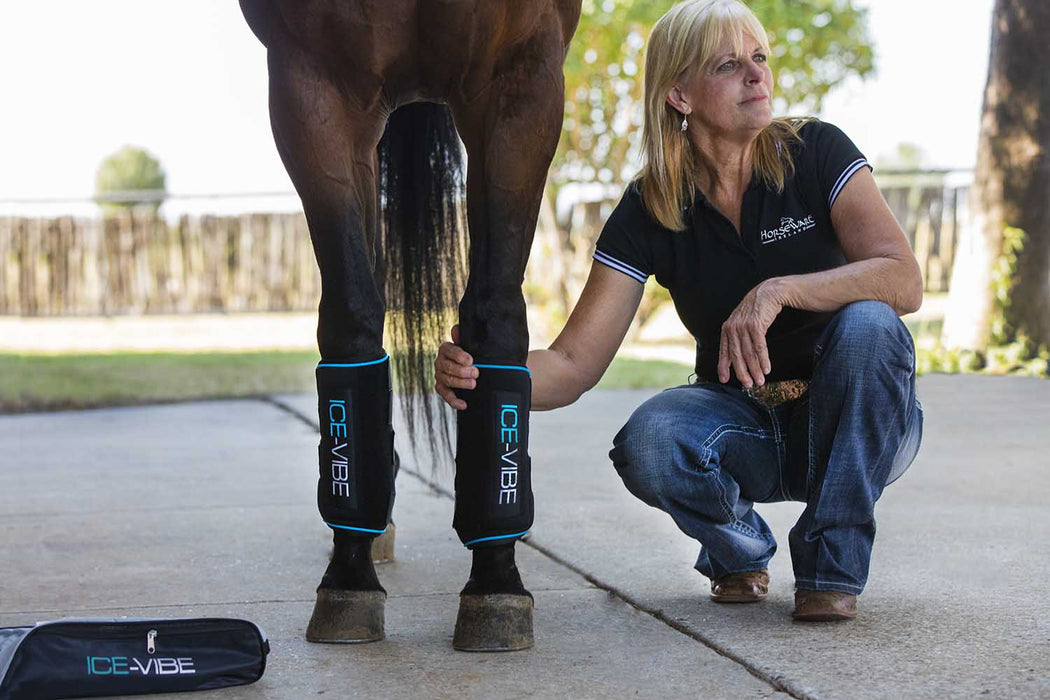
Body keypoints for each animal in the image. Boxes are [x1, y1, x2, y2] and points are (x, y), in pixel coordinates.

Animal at [239, 1, 583, 651]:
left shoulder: (522, 75)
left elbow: (494, 316)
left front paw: (495, 579)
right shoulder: (313, 80)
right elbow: (351, 314)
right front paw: (349, 577)